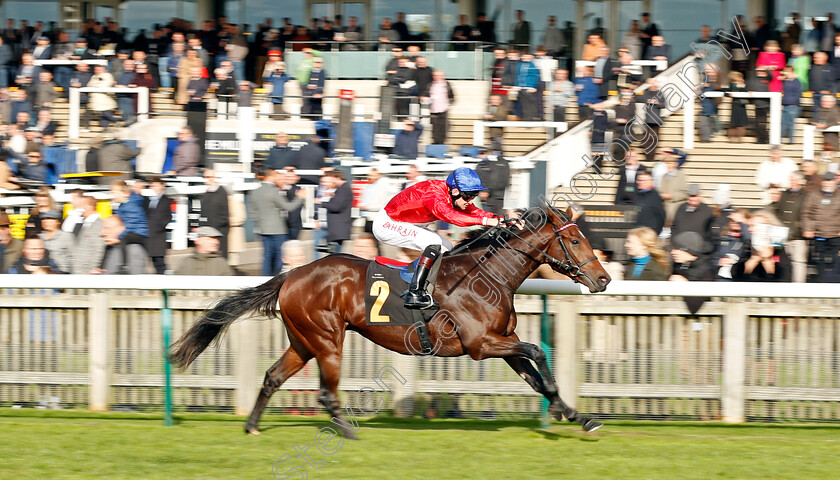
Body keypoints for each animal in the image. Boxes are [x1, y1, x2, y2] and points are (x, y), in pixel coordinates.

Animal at [169, 203, 612, 438]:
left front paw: (576, 414)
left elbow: (535, 374)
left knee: (272, 376)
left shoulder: (502, 341)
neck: (489, 276)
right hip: (326, 338)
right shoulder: (480, 345)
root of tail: (292, 274)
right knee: (326, 391)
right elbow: (537, 351)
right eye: (574, 240)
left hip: (302, 340)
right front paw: (567, 410)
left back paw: (252, 426)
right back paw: (347, 431)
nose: (604, 279)